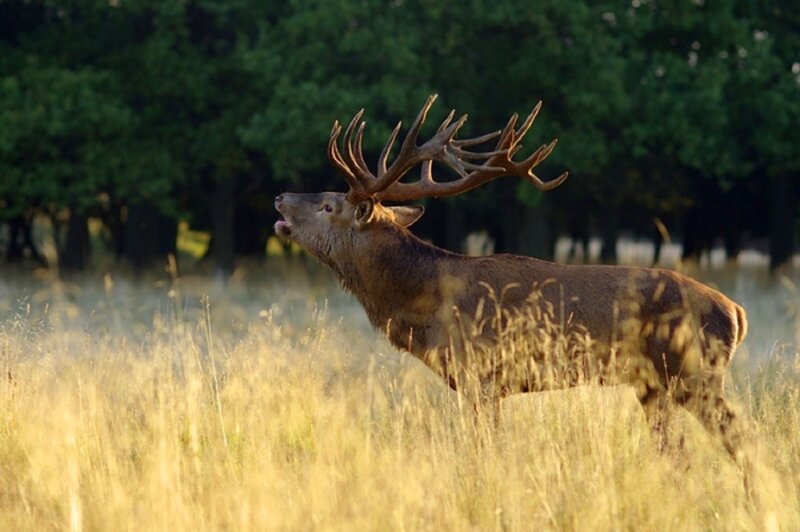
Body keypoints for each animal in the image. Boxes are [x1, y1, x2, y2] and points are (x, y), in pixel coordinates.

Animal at [274, 94, 752, 484]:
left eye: (329, 204)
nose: (280, 198)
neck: (426, 304)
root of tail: (736, 312)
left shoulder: (480, 375)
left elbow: (484, 451)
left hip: (694, 370)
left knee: (740, 436)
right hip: (654, 384)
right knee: (677, 452)